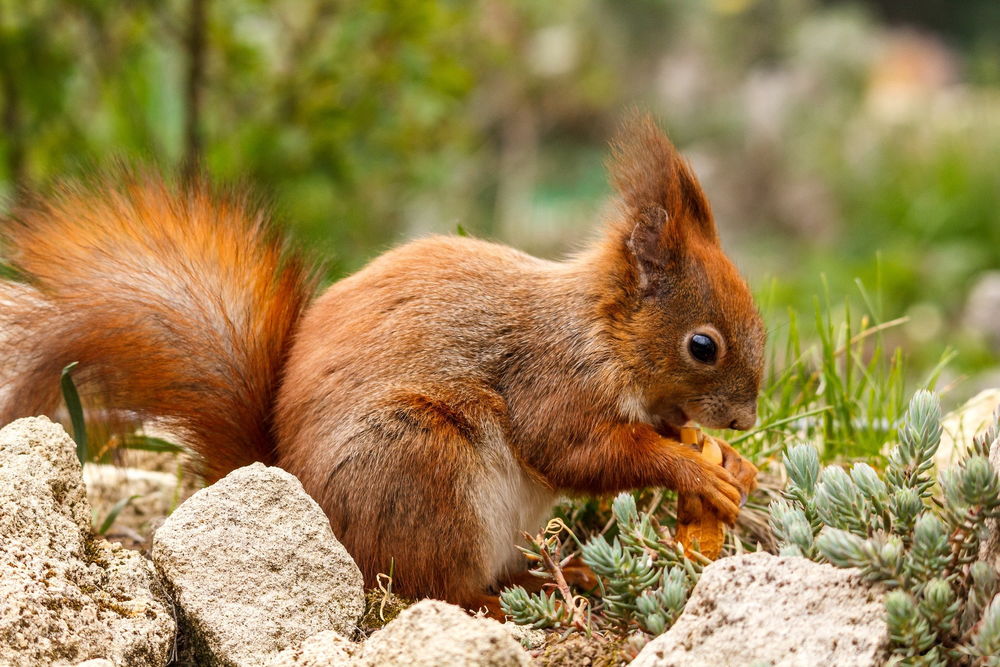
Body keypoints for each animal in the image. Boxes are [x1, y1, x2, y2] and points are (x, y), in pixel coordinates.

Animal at [0, 113, 763, 615]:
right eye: (703, 345)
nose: (747, 419)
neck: (601, 335)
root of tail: (297, 493)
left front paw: (732, 465)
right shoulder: (552, 382)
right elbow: (579, 452)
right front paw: (694, 468)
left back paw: (564, 575)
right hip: (421, 466)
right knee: (435, 587)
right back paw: (508, 599)